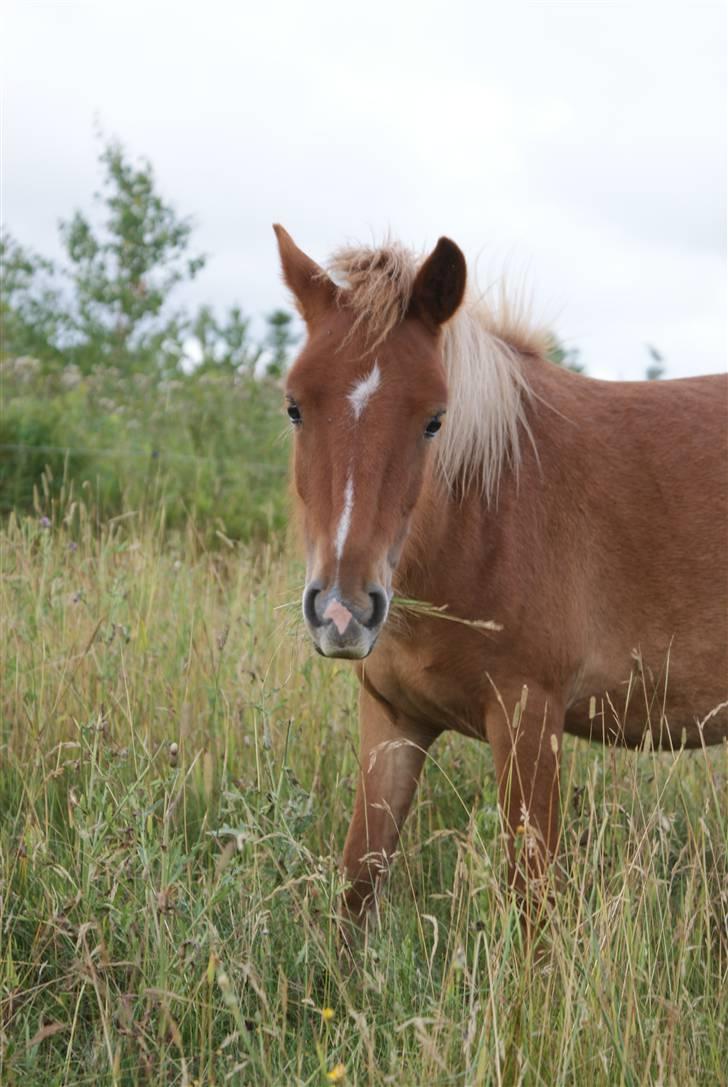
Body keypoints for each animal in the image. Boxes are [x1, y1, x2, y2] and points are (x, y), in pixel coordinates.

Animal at [272, 225, 728, 921]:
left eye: (434, 419)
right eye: (296, 407)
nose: (343, 613)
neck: (485, 517)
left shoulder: (528, 718)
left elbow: (533, 906)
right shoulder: (392, 722)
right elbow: (357, 885)